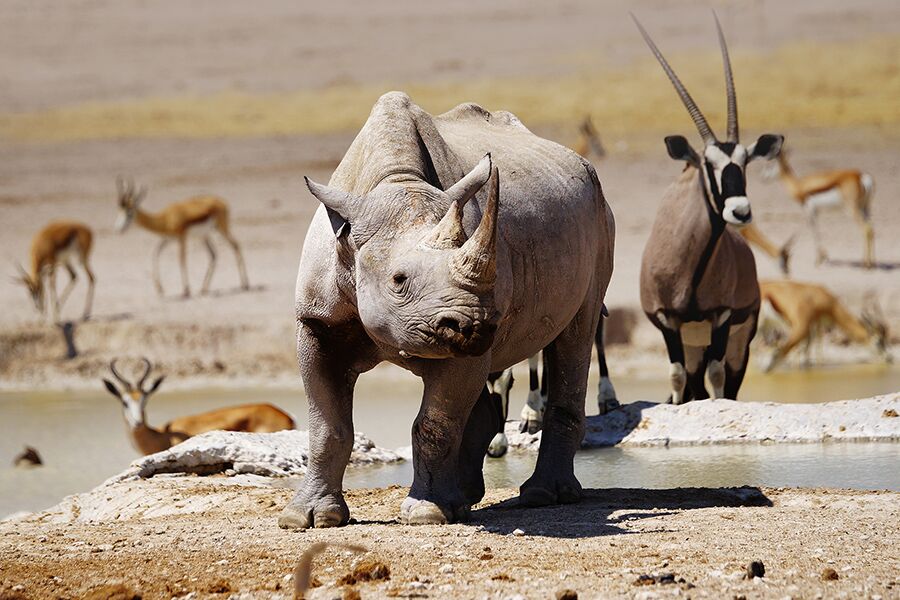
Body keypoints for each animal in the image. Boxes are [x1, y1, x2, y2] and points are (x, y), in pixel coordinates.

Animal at [280, 92, 615, 528]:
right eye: (399, 280)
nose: (473, 327)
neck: (394, 182)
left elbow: (435, 424)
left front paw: (427, 513)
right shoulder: (317, 322)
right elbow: (327, 425)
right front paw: (307, 518)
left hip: (598, 213)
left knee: (577, 331)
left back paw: (542, 496)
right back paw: (469, 497)